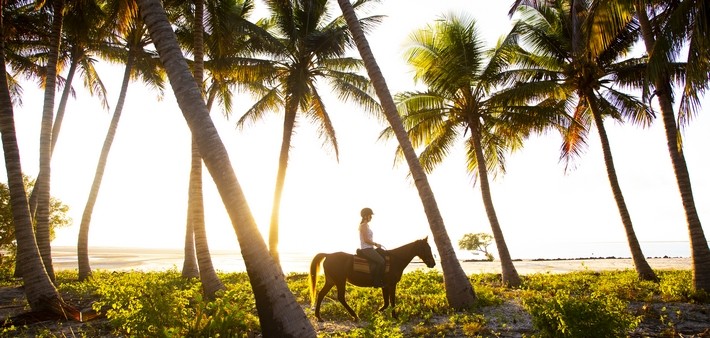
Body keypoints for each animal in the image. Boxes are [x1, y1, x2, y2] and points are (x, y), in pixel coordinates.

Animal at [308, 236, 436, 320]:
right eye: (426, 248)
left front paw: (376, 313)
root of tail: (328, 255)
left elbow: (386, 303)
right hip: (340, 281)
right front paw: (394, 316)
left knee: (321, 294)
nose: (433, 263)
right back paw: (355, 315)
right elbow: (392, 301)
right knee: (340, 297)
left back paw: (319, 316)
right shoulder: (391, 284)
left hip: (331, 281)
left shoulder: (385, 286)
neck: (394, 260)